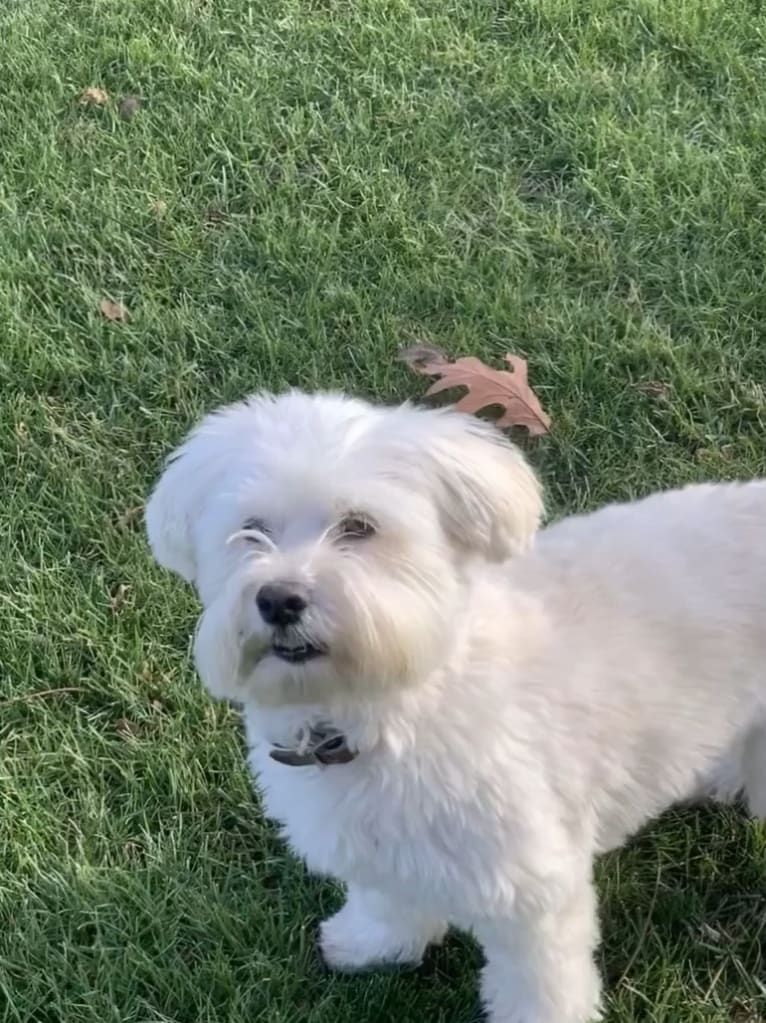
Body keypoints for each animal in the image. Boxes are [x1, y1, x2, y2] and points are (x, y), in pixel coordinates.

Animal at [145, 388, 764, 1023]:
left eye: (359, 527)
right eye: (251, 531)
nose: (279, 598)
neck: (395, 705)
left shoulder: (531, 890)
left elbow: (539, 985)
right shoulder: (377, 846)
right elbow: (387, 899)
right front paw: (373, 943)